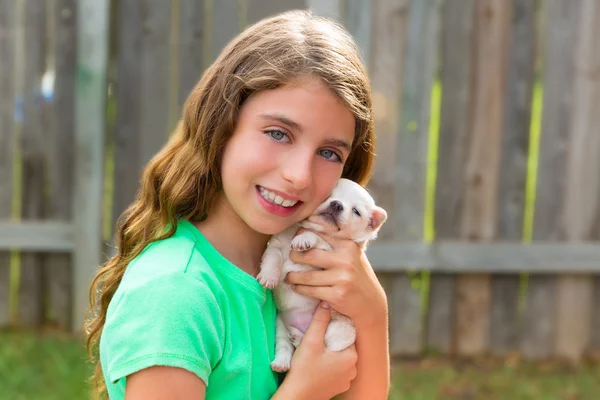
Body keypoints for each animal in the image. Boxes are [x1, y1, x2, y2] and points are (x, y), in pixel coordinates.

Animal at [255, 178, 386, 372]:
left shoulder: (331, 253)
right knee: (285, 346)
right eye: (328, 195)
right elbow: (272, 258)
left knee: (322, 343)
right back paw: (281, 362)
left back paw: (300, 338)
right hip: (281, 326)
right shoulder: (276, 245)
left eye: (356, 211)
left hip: (342, 330)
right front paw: (268, 277)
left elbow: (318, 238)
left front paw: (304, 238)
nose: (337, 204)